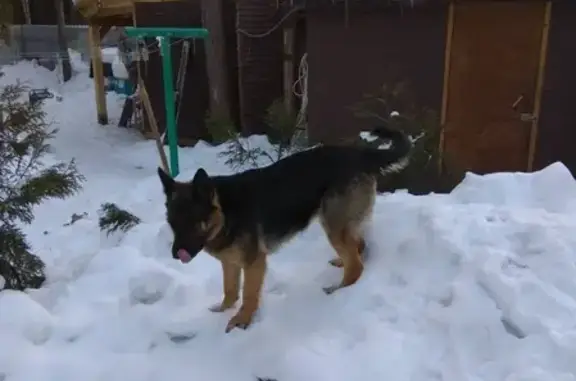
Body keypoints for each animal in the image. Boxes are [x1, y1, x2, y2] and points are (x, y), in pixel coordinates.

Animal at [156, 125, 410, 332]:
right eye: (172, 224)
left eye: (193, 222)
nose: (174, 254)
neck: (226, 213)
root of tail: (358, 155)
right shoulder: (230, 263)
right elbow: (230, 290)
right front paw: (223, 309)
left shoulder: (254, 263)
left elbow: (248, 294)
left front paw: (242, 321)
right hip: (340, 225)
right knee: (358, 246)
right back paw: (343, 264)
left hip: (333, 227)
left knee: (356, 264)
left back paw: (340, 291)